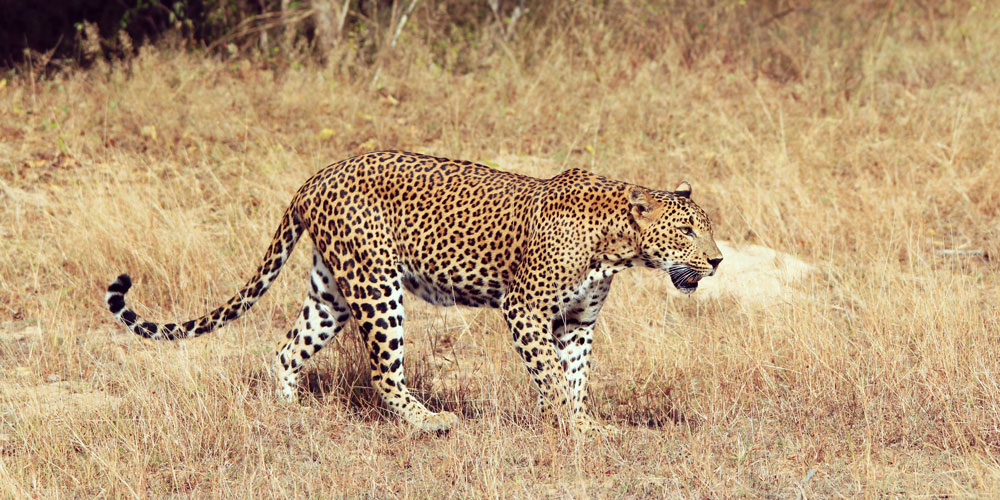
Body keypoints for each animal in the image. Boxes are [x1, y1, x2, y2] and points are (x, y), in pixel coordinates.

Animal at [105, 150, 724, 436]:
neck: (617, 245)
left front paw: (580, 425)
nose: (718, 261)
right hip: (378, 287)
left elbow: (573, 376)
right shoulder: (524, 309)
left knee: (286, 348)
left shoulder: (576, 322)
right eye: (689, 230)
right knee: (384, 372)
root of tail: (315, 177)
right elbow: (551, 373)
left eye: (707, 228)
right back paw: (431, 422)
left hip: (332, 291)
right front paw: (572, 425)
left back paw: (289, 414)